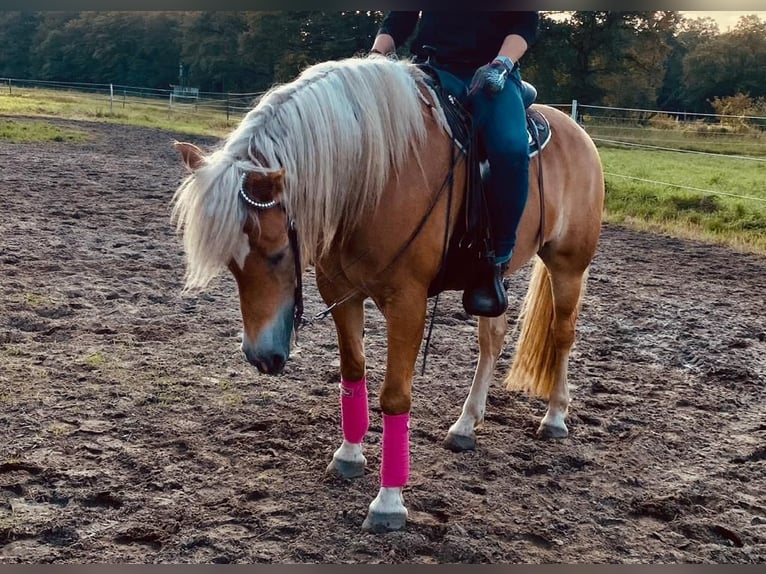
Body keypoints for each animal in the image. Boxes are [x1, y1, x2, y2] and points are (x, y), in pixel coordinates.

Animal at [170, 56, 608, 532]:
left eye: (278, 252)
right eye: (233, 263)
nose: (260, 355)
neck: (375, 178)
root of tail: (575, 130)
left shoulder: (407, 303)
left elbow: (395, 396)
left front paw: (389, 502)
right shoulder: (340, 291)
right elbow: (353, 372)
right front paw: (348, 455)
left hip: (568, 266)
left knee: (562, 336)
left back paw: (555, 417)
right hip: (492, 284)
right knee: (492, 339)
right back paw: (466, 424)